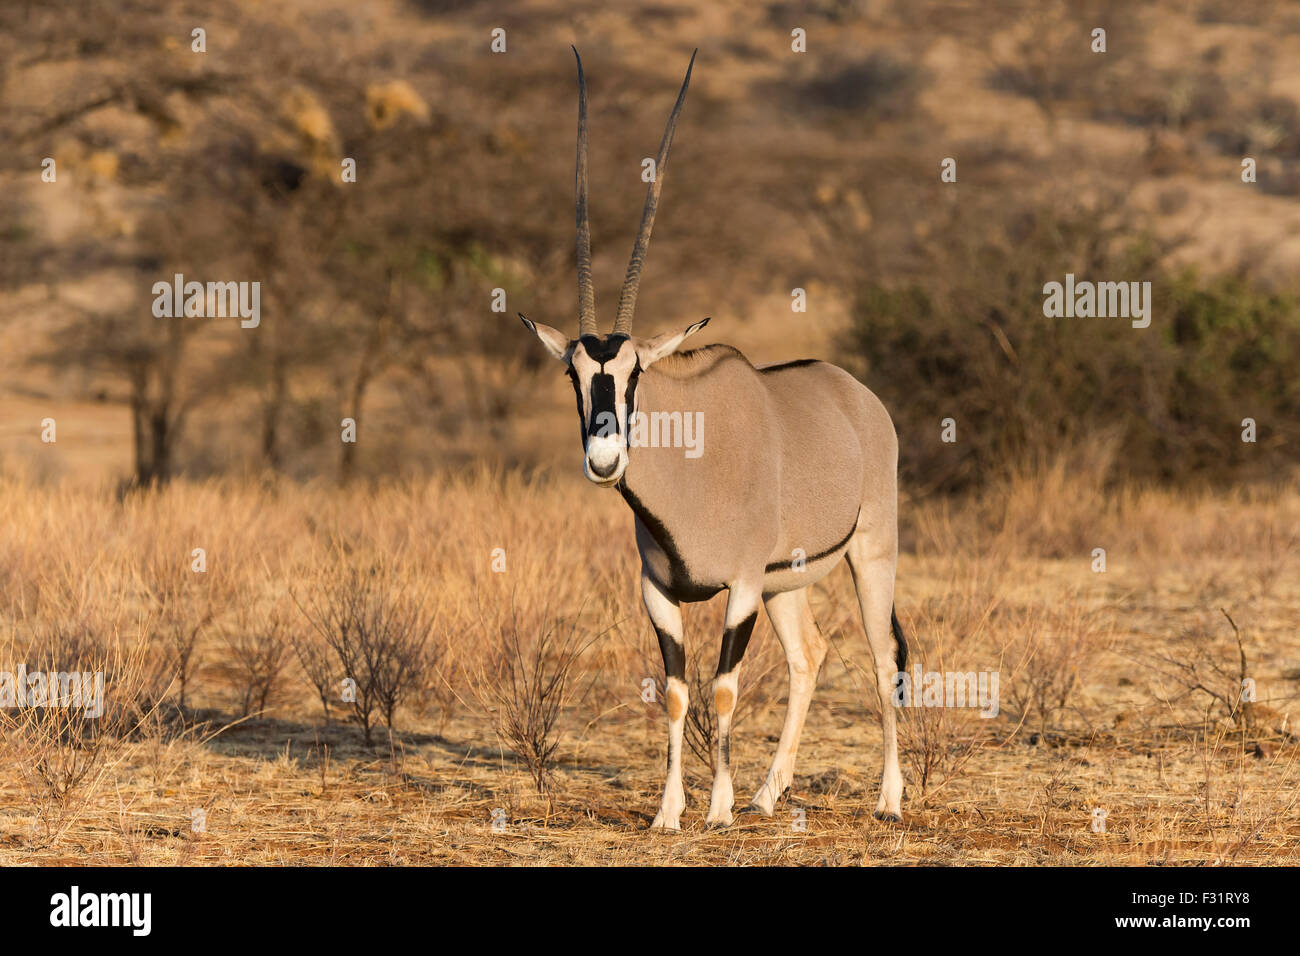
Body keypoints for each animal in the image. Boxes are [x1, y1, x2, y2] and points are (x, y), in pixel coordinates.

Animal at [514, 48, 904, 832]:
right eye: (574, 374)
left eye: (633, 374)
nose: (604, 459)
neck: (692, 470)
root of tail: (857, 395)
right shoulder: (659, 590)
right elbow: (673, 691)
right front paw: (669, 812)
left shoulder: (741, 587)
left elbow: (722, 687)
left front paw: (716, 809)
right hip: (790, 581)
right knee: (809, 656)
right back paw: (767, 794)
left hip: (870, 554)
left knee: (881, 660)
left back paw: (888, 799)